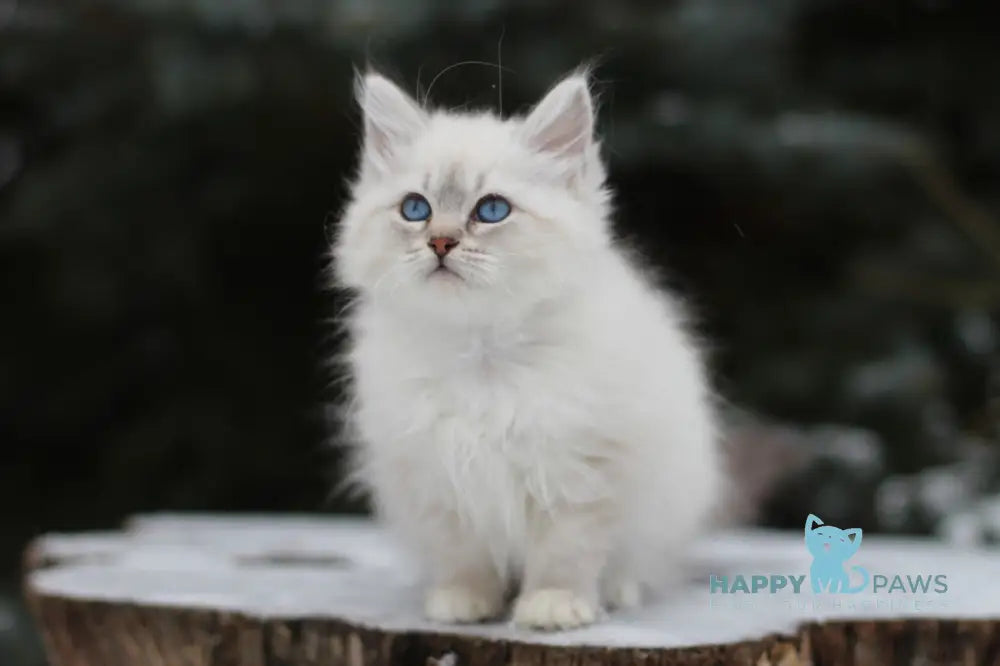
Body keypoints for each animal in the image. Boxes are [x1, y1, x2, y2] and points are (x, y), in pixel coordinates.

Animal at [332, 68, 724, 628]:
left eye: (492, 210)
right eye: (415, 209)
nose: (440, 243)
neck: (482, 352)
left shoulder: (582, 470)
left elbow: (566, 552)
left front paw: (553, 607)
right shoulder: (437, 475)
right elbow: (463, 554)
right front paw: (464, 602)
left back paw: (619, 592)